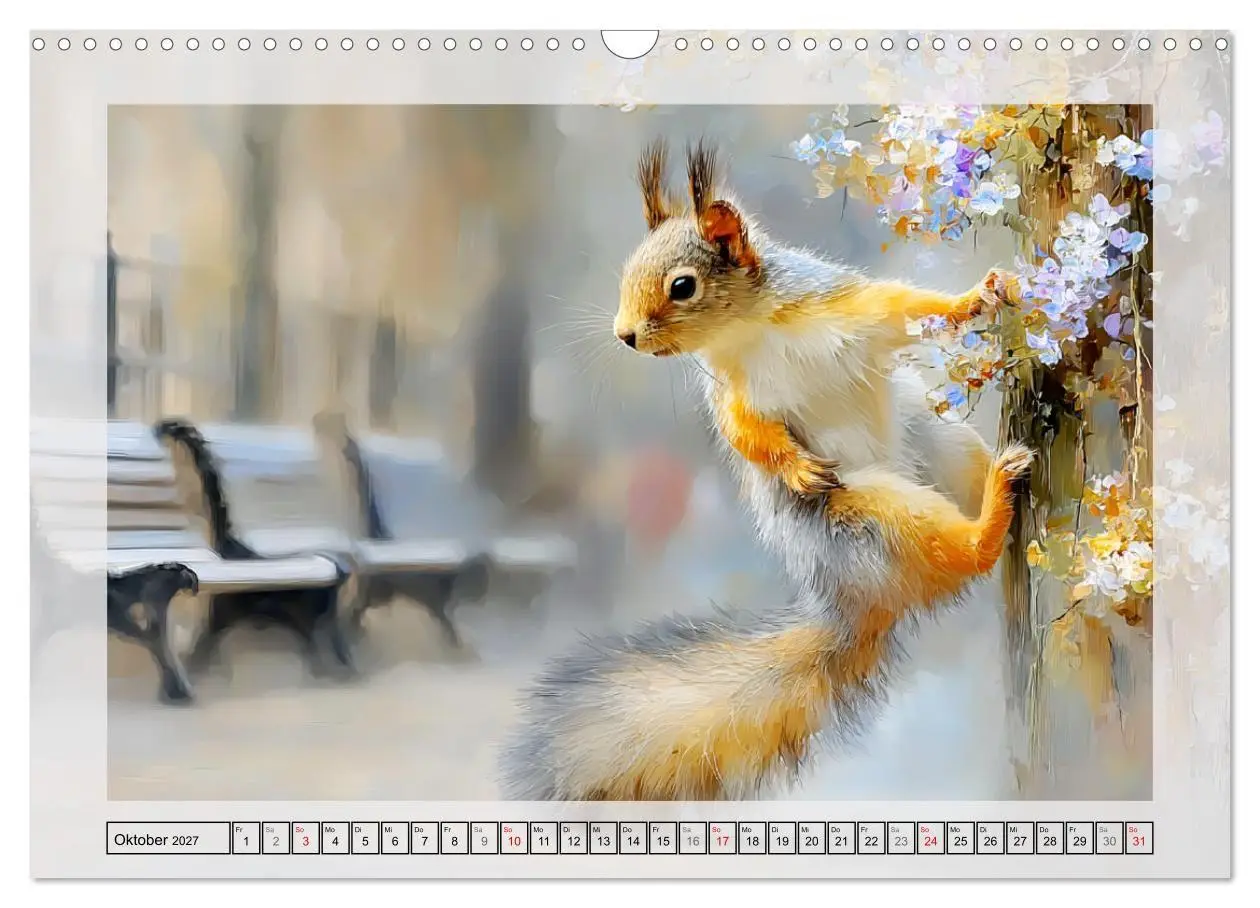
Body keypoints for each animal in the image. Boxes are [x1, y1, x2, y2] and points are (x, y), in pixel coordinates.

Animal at [496, 140, 1032, 801]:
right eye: (626, 275)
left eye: (682, 286)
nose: (624, 336)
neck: (748, 327)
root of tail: (853, 604)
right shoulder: (733, 396)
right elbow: (749, 438)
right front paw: (797, 471)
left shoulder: (853, 311)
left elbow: (912, 309)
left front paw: (979, 296)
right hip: (869, 510)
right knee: (967, 557)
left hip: (939, 447)